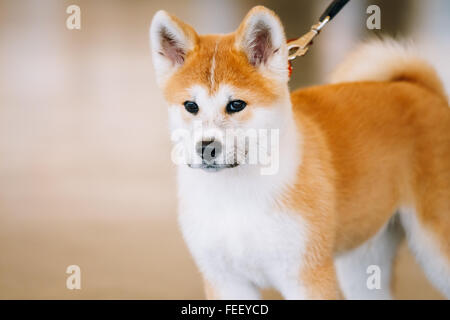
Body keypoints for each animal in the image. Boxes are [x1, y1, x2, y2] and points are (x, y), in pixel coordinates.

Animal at [149, 6, 450, 298]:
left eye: (236, 105)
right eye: (191, 106)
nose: (206, 147)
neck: (236, 192)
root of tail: (422, 89)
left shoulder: (306, 277)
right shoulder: (226, 281)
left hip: (434, 250)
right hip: (362, 260)